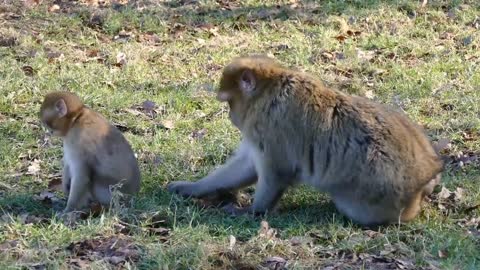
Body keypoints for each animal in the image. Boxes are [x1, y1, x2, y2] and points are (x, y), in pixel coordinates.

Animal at [170, 54, 446, 226]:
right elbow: (244, 167)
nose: (230, 116)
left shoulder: (271, 126)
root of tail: (428, 171)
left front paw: (252, 211)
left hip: (376, 196)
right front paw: (192, 188)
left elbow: (276, 172)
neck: (267, 92)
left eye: (228, 102)